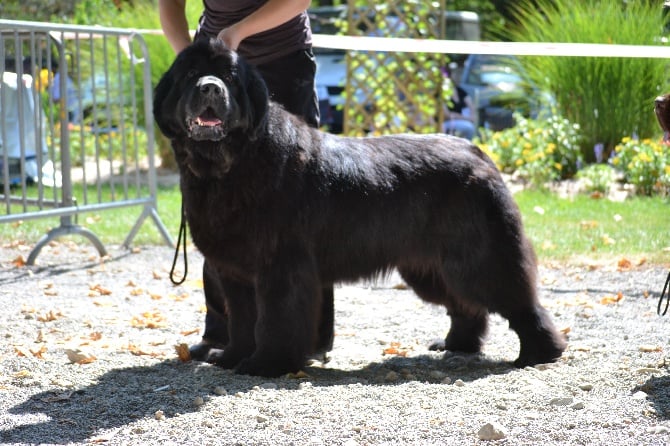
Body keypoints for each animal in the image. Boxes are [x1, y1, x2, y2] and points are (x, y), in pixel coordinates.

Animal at [152, 40, 568, 378]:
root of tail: (479, 152)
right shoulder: (234, 272)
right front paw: (232, 357)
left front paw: (266, 364)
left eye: (230, 77)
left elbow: (274, 319)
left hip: (479, 260)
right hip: (430, 267)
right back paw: (456, 346)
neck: (233, 165)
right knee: (466, 306)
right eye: (190, 74)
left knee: (519, 302)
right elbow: (241, 319)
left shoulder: (281, 267)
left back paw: (540, 353)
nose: (210, 87)